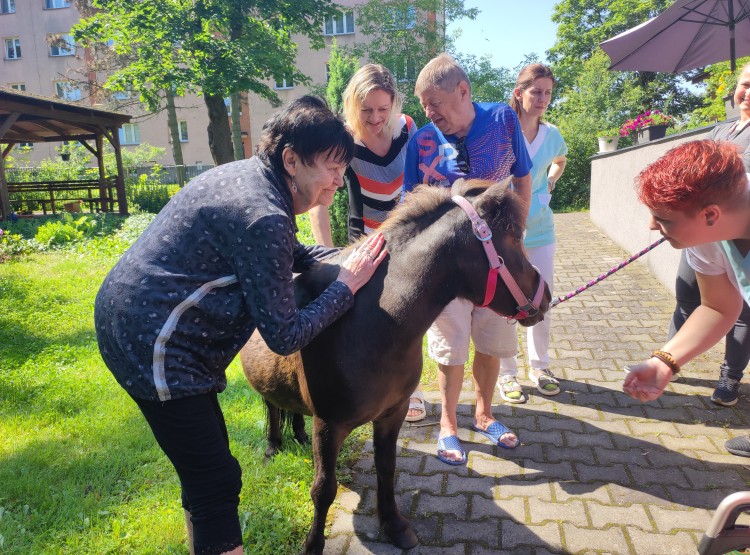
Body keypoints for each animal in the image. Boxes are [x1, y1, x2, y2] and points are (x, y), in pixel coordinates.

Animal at [241, 180, 552, 552]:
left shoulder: (392, 413)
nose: (546, 297)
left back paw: (297, 436)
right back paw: (273, 446)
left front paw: (394, 525)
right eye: (515, 237)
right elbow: (323, 489)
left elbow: (386, 467)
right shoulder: (328, 424)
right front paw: (313, 545)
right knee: (271, 406)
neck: (373, 320)